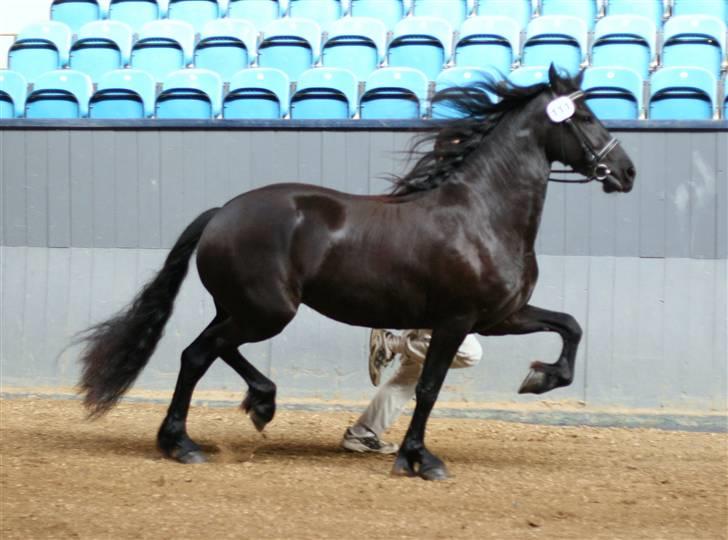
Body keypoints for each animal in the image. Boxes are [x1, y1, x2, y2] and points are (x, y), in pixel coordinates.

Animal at [79, 66, 636, 480]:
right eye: (586, 116)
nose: (627, 173)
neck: (482, 213)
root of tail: (222, 213)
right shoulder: (456, 321)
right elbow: (429, 389)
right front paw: (420, 460)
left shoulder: (499, 317)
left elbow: (569, 326)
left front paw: (541, 378)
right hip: (266, 312)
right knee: (197, 355)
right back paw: (183, 443)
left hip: (244, 309)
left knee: (212, 351)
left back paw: (257, 405)